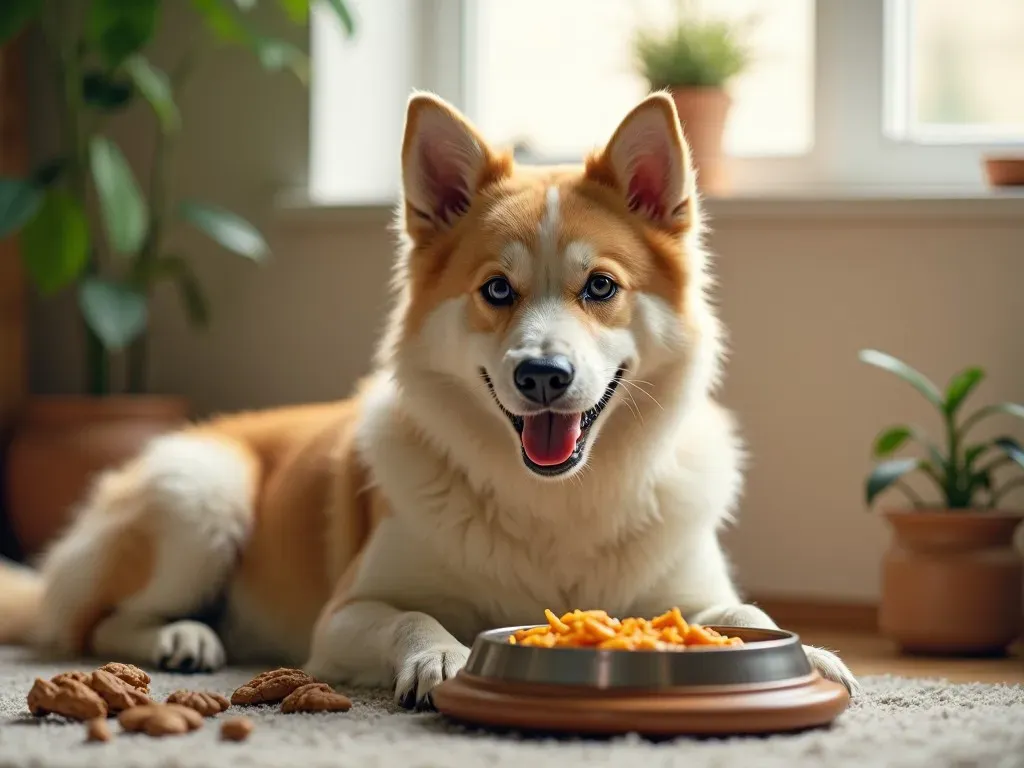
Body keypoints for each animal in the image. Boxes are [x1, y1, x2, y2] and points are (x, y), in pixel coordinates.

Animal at [0, 93, 856, 708]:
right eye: (497, 290)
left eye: (600, 287)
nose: (541, 376)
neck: (557, 500)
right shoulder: (344, 616)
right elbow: (413, 615)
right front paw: (443, 656)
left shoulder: (689, 594)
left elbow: (748, 618)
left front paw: (810, 652)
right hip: (203, 495)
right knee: (94, 623)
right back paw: (183, 639)